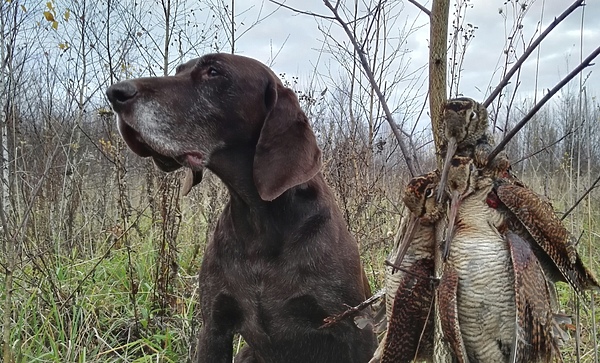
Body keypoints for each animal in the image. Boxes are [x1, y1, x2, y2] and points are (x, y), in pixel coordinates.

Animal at [104, 52, 376, 362]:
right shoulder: (214, 327)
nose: (115, 93)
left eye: (213, 71)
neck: (260, 223)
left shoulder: (355, 330)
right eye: (178, 70)